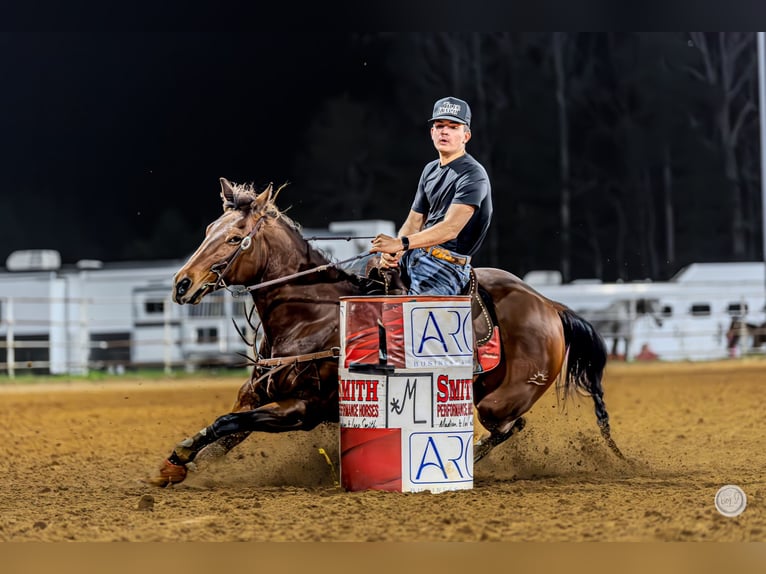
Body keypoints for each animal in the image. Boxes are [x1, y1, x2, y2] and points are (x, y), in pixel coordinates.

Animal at [148, 177, 624, 487]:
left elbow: (227, 423)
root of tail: (551, 307)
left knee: (508, 426)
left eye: (236, 238)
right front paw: (181, 464)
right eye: (210, 230)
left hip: (499, 400)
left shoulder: (301, 409)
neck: (310, 317)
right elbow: (227, 427)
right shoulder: (255, 395)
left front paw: (182, 456)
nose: (182, 284)